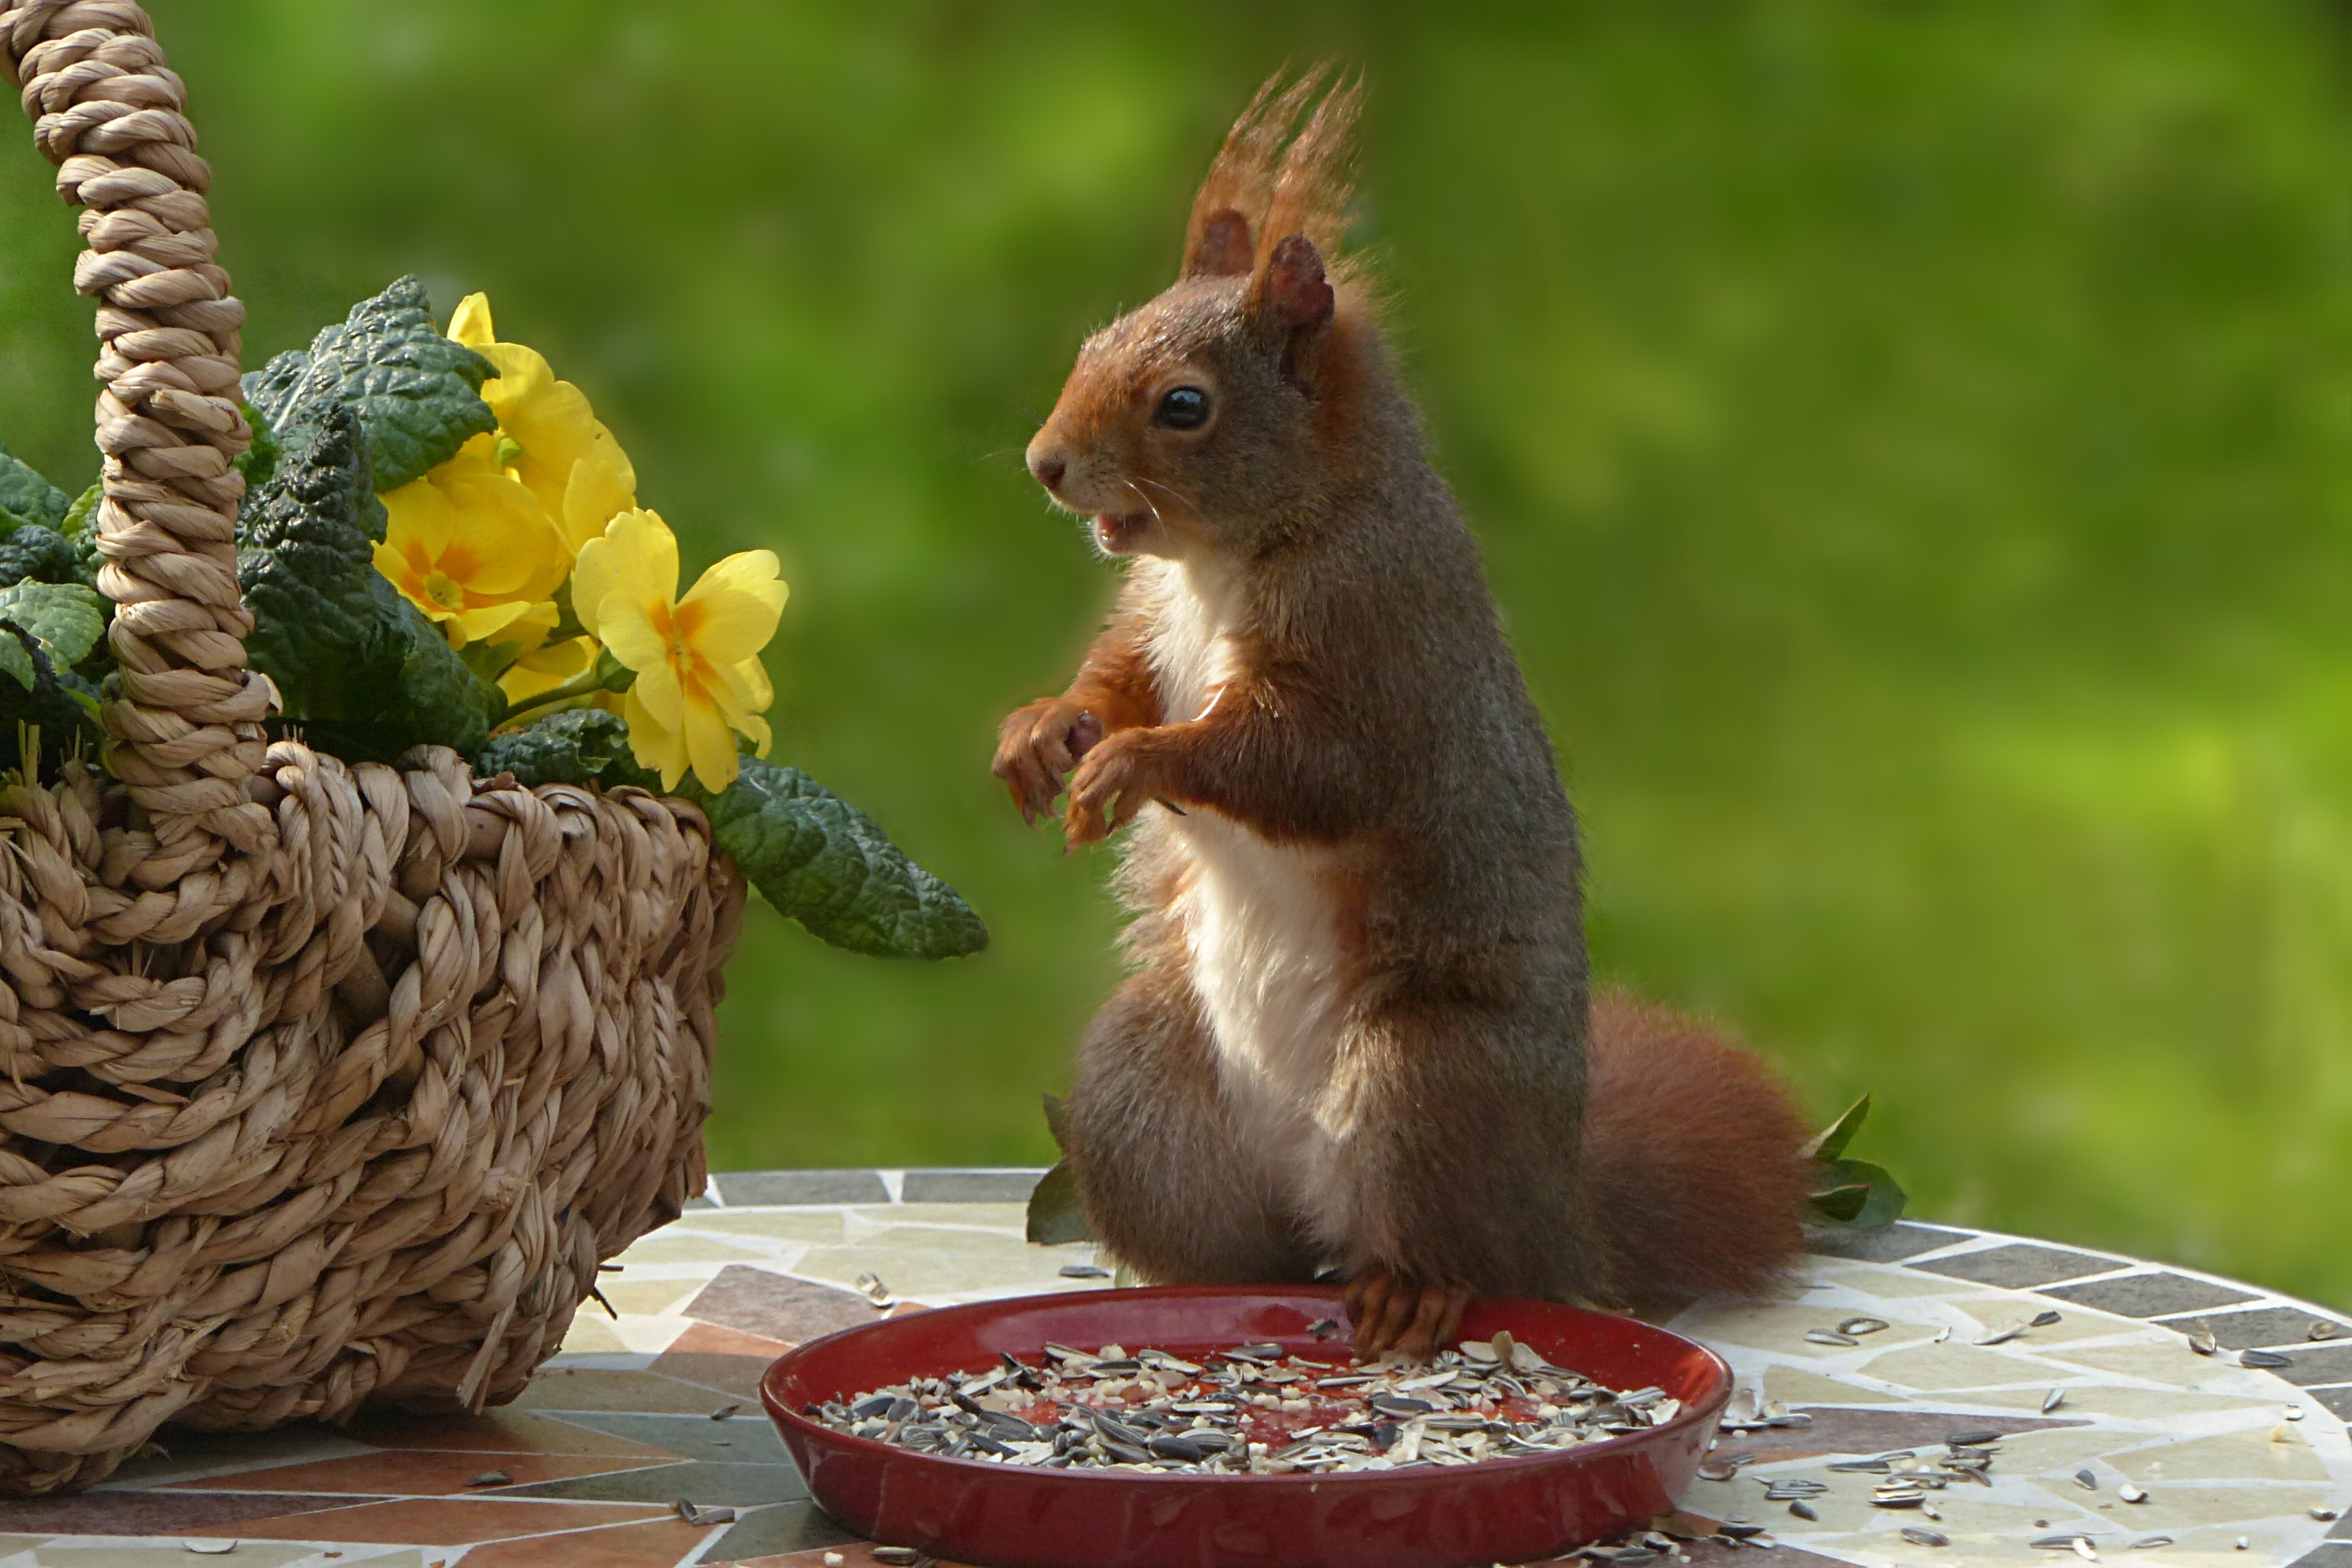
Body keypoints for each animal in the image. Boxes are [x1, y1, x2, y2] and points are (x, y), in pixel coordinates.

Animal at [982, 70, 1806, 1363]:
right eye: (1089, 347)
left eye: (1184, 405)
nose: (1044, 463)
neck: (1226, 558)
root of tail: (1558, 1212)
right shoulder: (1151, 623)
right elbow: (1113, 679)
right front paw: (1043, 732)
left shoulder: (1377, 654)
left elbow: (1294, 762)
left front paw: (1132, 763)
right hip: (1135, 1086)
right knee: (1259, 1243)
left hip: (1424, 1077)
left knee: (1447, 1248)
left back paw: (1413, 1290)